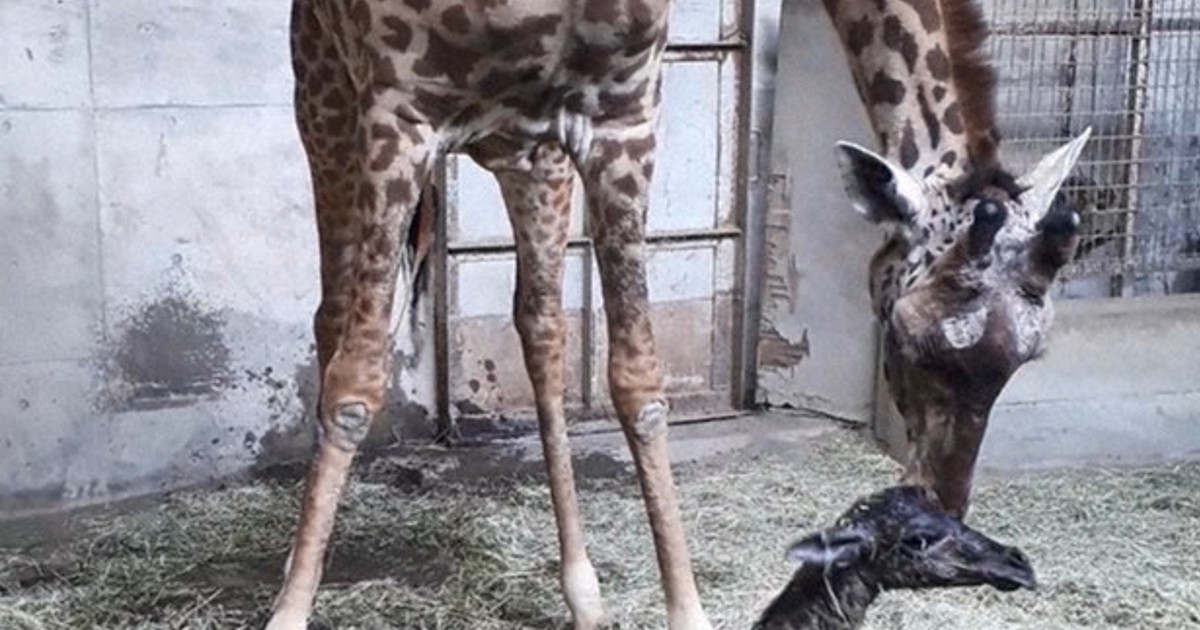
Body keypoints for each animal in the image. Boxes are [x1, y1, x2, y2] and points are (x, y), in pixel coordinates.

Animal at [269, 1, 711, 629]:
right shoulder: (397, 117)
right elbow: (354, 388)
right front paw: (290, 609)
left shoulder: (624, 124)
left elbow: (639, 384)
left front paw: (685, 608)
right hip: (324, 103)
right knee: (331, 317)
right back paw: (295, 566)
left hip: (537, 164)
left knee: (542, 324)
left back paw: (583, 589)